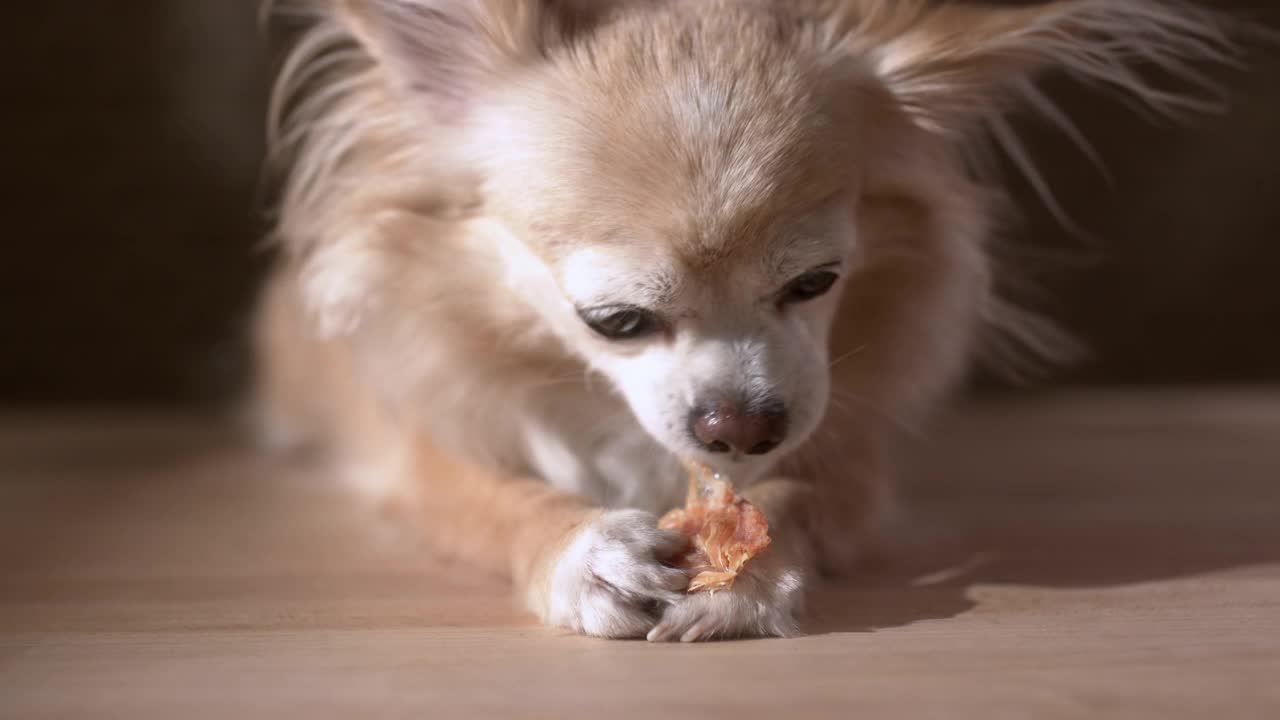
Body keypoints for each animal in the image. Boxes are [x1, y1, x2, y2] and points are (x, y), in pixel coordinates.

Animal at [252, 0, 1239, 638]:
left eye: (816, 282)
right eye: (614, 322)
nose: (742, 425)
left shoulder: (849, 460)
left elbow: (797, 495)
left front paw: (752, 573)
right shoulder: (428, 446)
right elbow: (491, 496)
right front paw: (583, 549)